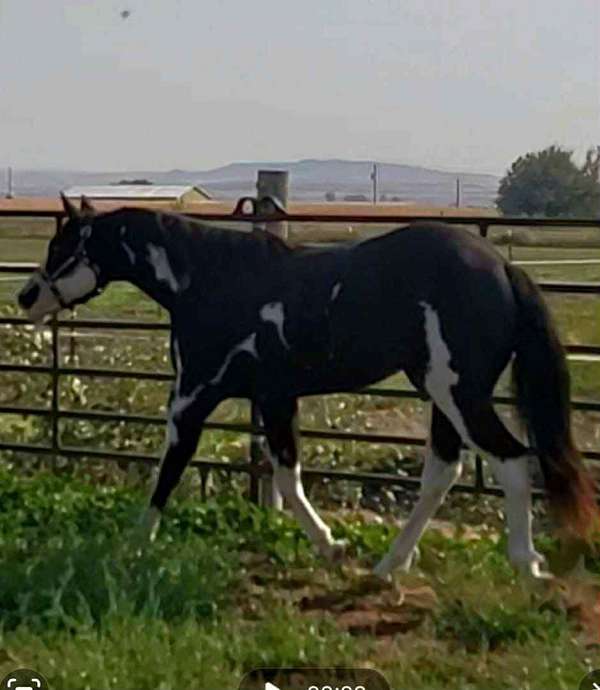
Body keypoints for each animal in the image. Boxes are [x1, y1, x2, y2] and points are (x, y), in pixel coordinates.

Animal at [17, 195, 596, 579]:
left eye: (63, 247)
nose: (26, 297)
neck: (209, 280)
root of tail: (501, 268)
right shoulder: (274, 399)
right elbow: (288, 477)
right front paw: (331, 547)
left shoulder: (191, 399)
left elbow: (167, 474)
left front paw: (132, 549)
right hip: (441, 393)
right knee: (443, 471)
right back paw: (388, 566)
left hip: (459, 393)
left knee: (511, 460)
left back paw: (527, 567)